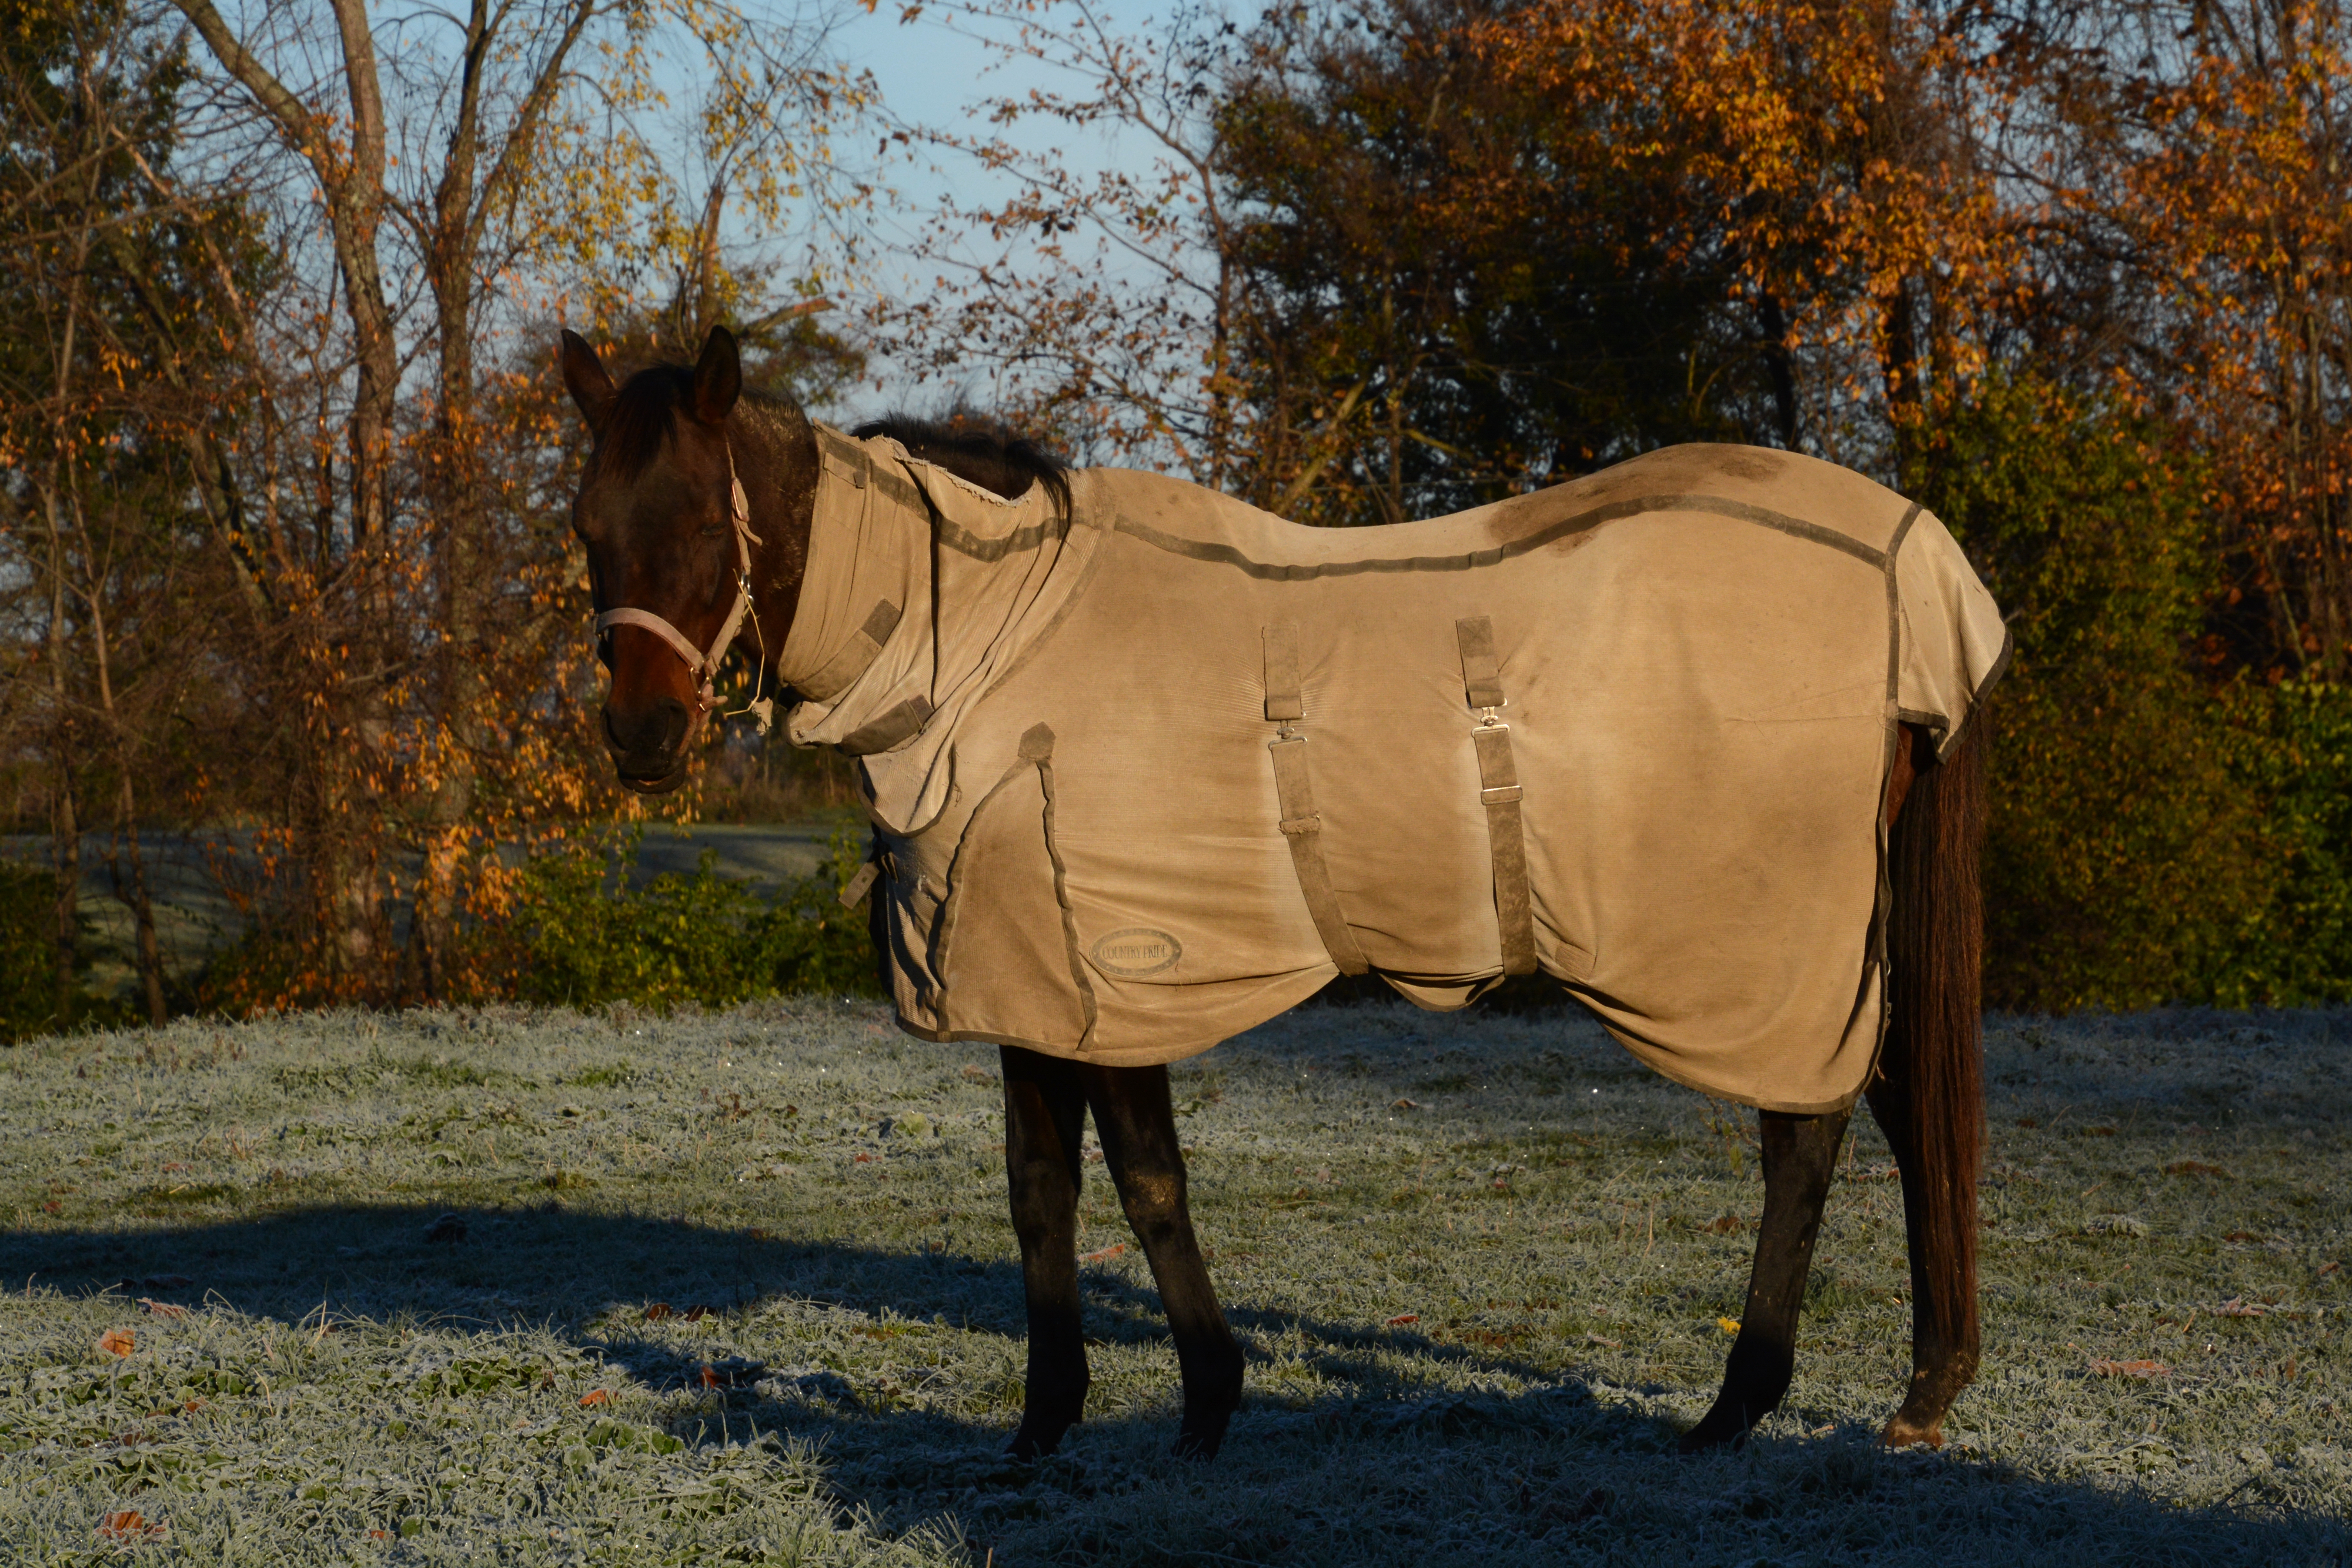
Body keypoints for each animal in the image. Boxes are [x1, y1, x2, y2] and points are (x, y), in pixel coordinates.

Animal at [560, 324, 1994, 1467]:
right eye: (586, 525)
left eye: (703, 523)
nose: (640, 736)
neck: (990, 642)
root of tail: (1914, 565)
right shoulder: (1032, 988)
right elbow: (1039, 1190)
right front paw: (1043, 1423)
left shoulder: (1115, 975)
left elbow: (1147, 1184)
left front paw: (1204, 1401)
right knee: (1895, 1105)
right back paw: (1919, 1389)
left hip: (1763, 954)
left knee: (1806, 1136)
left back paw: (1737, 1405)